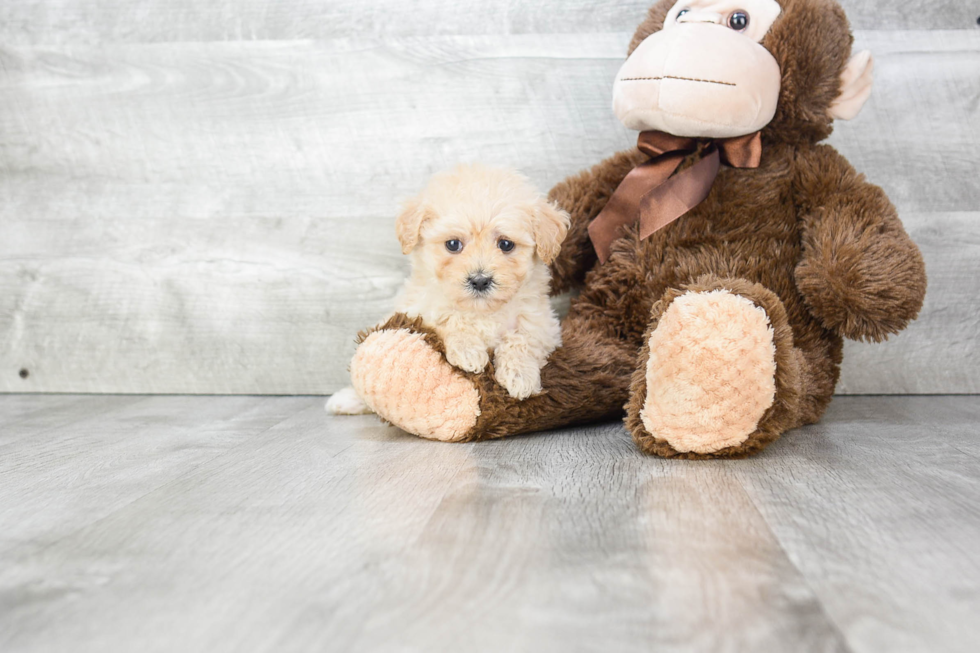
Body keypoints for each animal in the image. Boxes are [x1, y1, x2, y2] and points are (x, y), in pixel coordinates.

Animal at [330, 166, 572, 416]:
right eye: (453, 244)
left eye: (506, 244)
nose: (480, 280)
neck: (481, 311)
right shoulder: (417, 310)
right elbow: (447, 318)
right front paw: (469, 351)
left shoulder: (543, 324)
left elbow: (523, 338)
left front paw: (520, 375)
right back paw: (346, 400)